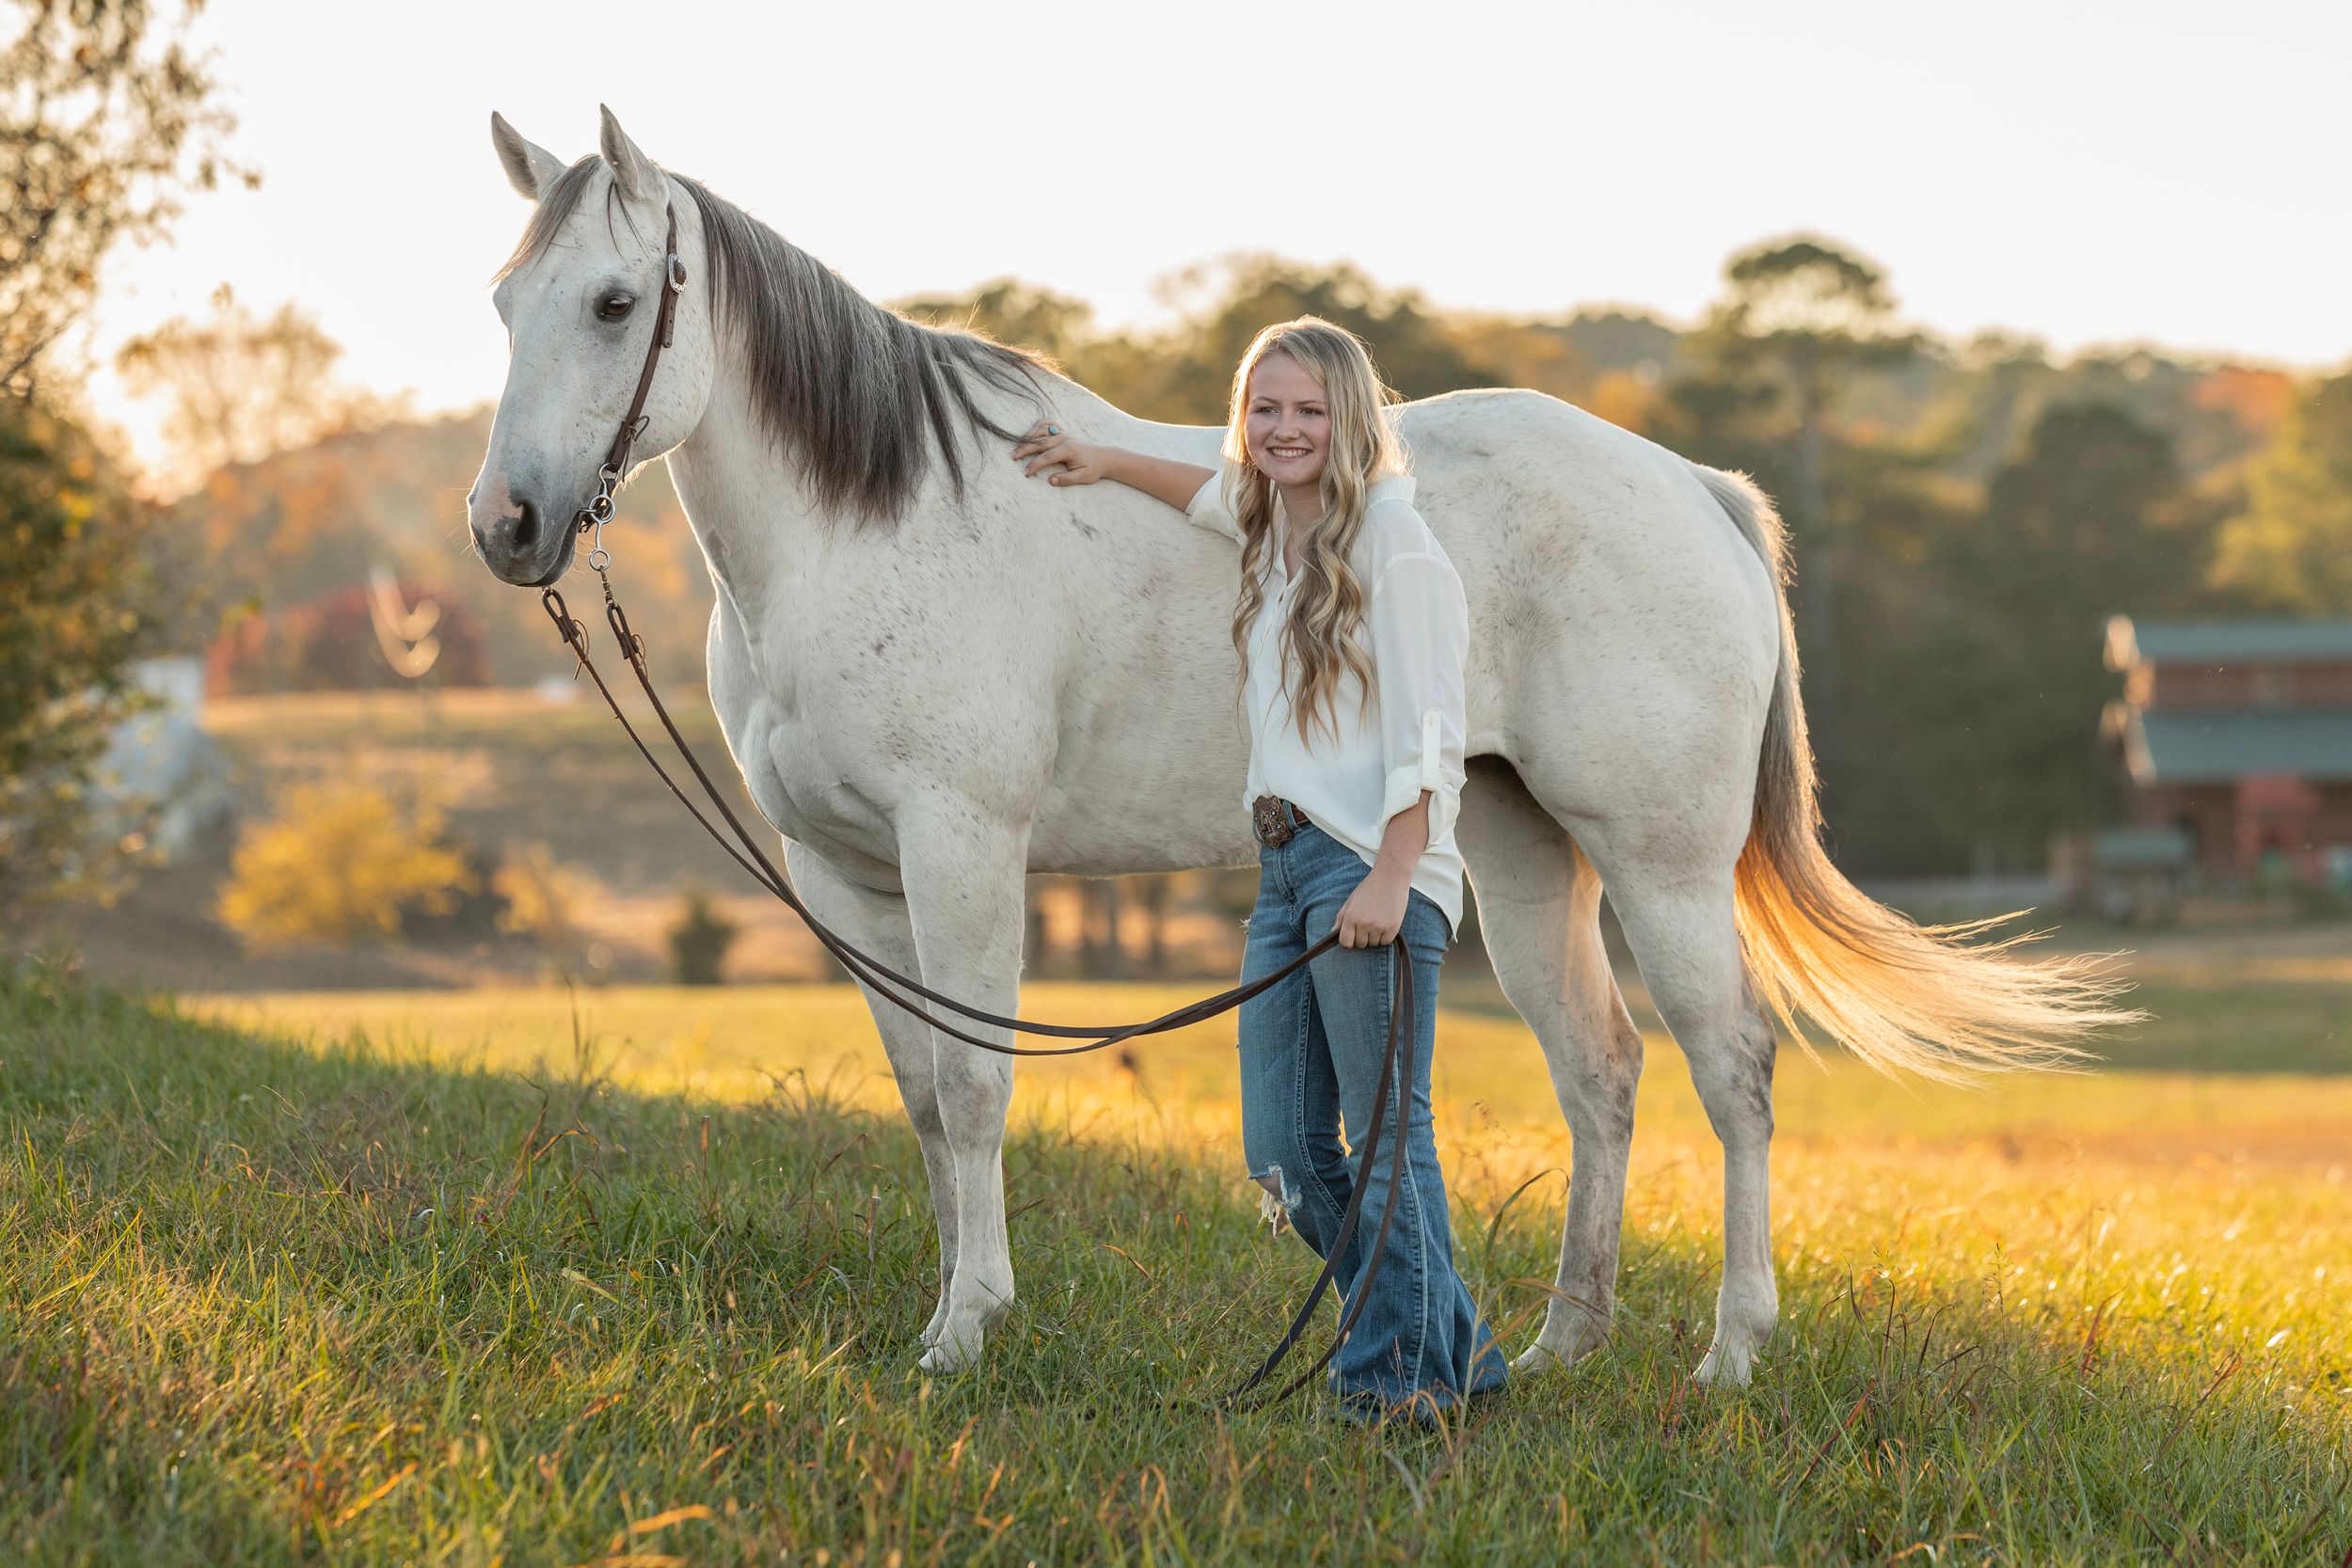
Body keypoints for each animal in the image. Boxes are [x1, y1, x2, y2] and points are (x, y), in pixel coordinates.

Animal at [466, 107, 2130, 1385]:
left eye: (611, 302)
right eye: (501, 300)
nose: (509, 526)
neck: (871, 525)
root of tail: (1696, 488)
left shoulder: (961, 845)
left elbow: (984, 1087)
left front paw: (968, 1330)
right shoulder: (842, 874)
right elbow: (929, 1100)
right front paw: (949, 1310)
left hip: (1660, 862)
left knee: (1734, 1070)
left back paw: (1729, 1353)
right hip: (1521, 851)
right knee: (1600, 1070)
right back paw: (1558, 1348)